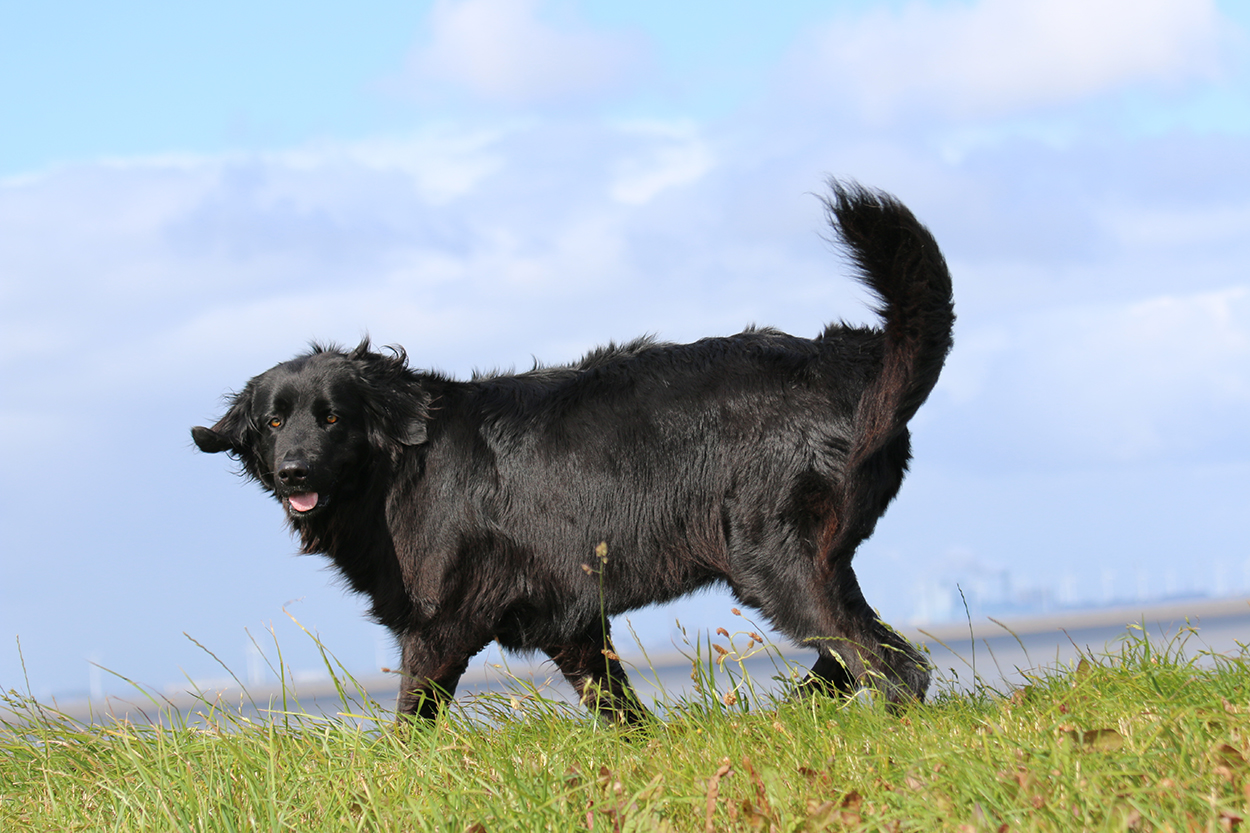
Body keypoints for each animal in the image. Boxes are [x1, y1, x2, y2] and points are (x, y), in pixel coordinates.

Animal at [192, 181, 954, 723]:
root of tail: (851, 358)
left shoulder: (440, 627)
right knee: (850, 660)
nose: (293, 469)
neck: (397, 471)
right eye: (272, 421)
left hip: (773, 562)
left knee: (895, 668)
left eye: (331, 418)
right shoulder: (571, 619)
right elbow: (618, 708)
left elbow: (410, 723)